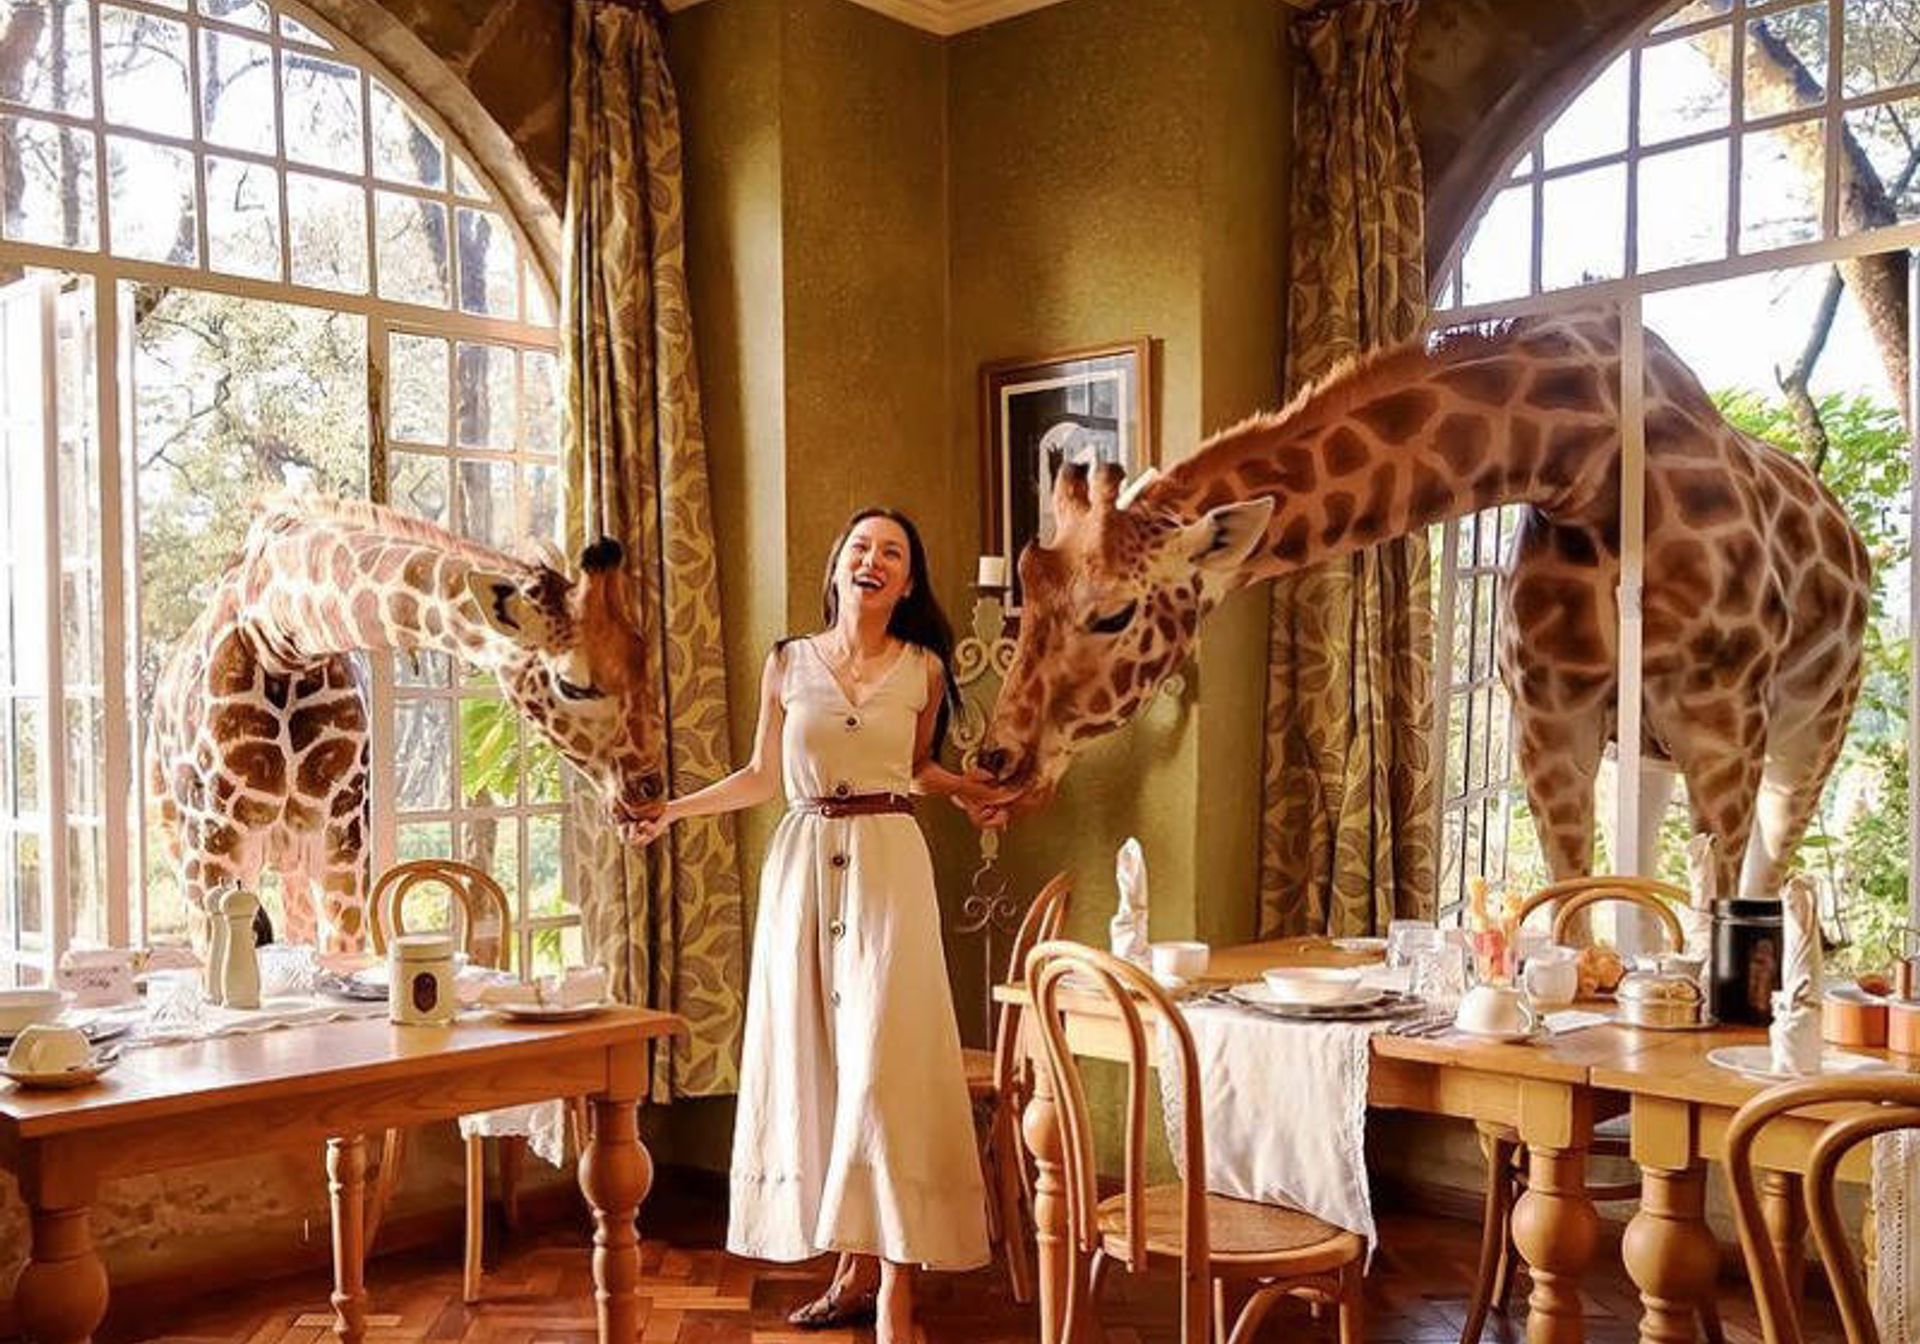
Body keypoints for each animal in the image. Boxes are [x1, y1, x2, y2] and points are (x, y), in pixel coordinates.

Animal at [147, 495, 668, 951]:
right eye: (573, 685)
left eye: (645, 656)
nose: (650, 791)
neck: (280, 634)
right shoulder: (215, 845)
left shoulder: (343, 842)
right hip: (190, 851)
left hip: (290, 864)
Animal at [974, 311, 1870, 903]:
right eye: (1025, 585)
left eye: (1113, 615)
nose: (994, 760)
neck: (1585, 459)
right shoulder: (1551, 717)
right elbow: (1578, 899)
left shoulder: (1720, 722)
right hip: (1647, 753)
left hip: (1806, 736)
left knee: (1765, 870)